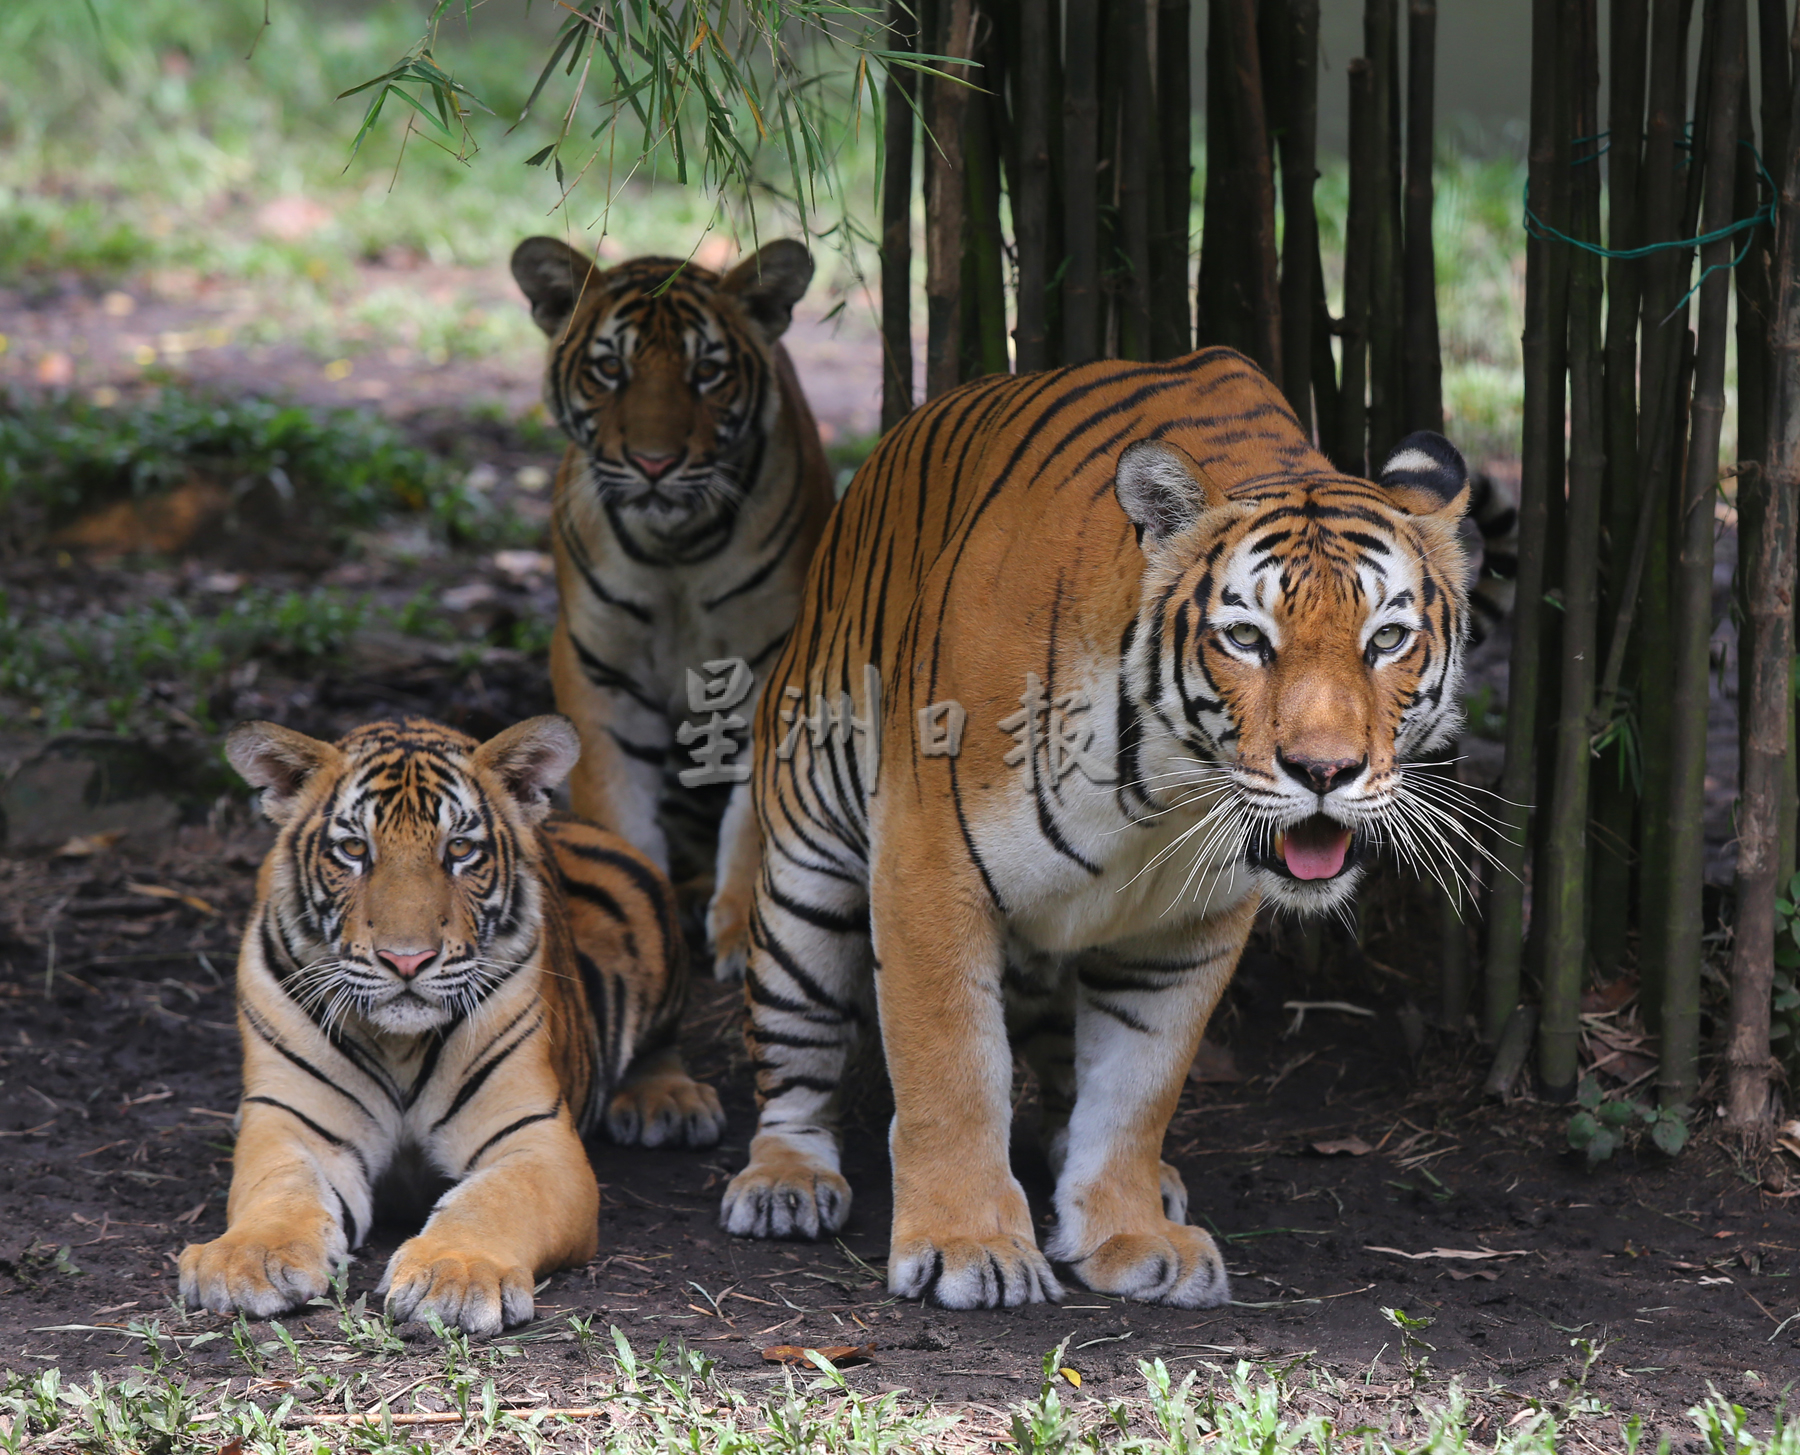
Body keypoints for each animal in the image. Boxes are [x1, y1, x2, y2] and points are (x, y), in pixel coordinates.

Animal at [179, 709, 720, 1332]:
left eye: (459, 848)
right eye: (353, 848)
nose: (406, 959)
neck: (399, 1044)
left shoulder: (534, 1137)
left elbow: (493, 1200)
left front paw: (455, 1274)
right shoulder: (293, 1122)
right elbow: (278, 1187)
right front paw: (247, 1260)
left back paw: (670, 1103)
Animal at [511, 235, 838, 979]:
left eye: (707, 372)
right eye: (610, 369)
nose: (654, 463)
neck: (676, 548)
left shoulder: (774, 664)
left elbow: (752, 818)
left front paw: (742, 933)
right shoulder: (598, 667)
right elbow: (615, 804)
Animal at [720, 349, 1476, 1303]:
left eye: (1386, 640)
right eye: (1245, 638)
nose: (1324, 772)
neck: (1164, 795)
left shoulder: (1187, 931)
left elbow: (1134, 1092)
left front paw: (1128, 1234)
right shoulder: (927, 868)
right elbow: (952, 1069)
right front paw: (971, 1245)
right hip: (805, 869)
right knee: (796, 1060)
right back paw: (786, 1181)